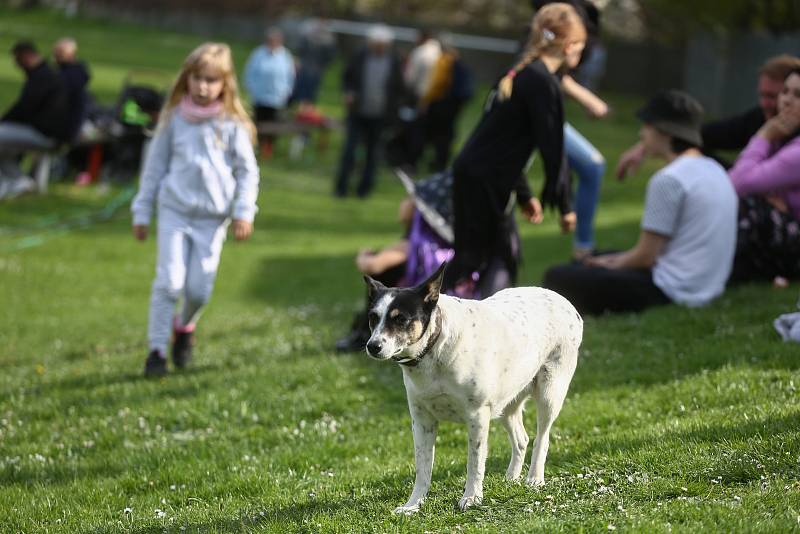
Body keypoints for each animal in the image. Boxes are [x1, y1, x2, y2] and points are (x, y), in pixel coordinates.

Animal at [364, 264, 580, 516]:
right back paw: (511, 478)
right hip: (505, 404)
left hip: (549, 393)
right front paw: (413, 504)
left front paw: (472, 497)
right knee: (521, 439)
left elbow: (474, 462)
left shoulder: (477, 416)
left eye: (400, 319)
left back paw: (535, 478)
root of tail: (564, 301)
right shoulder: (422, 421)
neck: (434, 349)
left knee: (542, 438)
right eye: (372, 318)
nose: (372, 346)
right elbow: (423, 468)